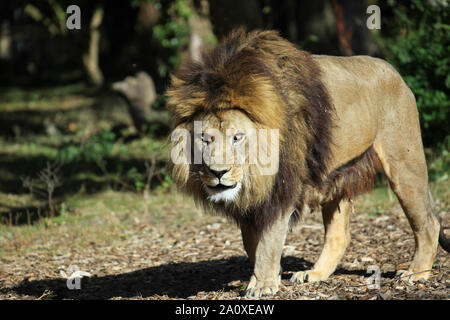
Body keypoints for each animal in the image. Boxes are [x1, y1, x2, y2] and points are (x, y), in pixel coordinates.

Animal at [166, 29, 450, 298]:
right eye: (204, 138)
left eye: (237, 137)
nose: (218, 172)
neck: (255, 175)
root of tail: (395, 72)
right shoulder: (253, 204)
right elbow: (253, 244)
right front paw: (269, 275)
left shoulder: (282, 189)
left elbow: (268, 242)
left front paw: (263, 285)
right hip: (337, 176)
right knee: (339, 234)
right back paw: (314, 274)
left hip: (404, 162)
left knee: (428, 223)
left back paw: (416, 273)